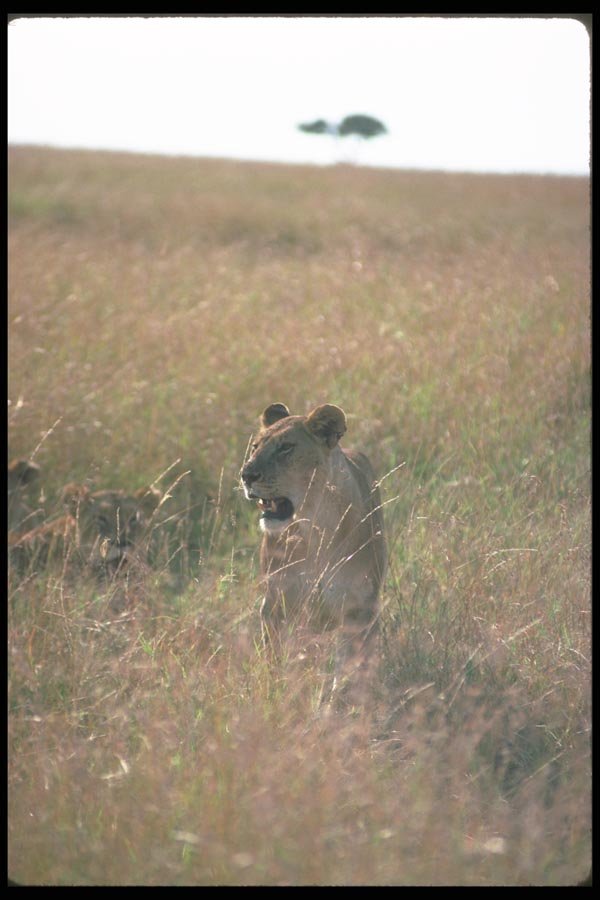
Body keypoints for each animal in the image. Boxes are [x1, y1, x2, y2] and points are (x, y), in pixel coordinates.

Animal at [241, 402, 387, 688]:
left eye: (286, 447)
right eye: (255, 447)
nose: (246, 475)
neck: (315, 527)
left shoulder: (357, 609)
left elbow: (349, 672)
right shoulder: (275, 604)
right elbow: (276, 660)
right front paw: (277, 691)